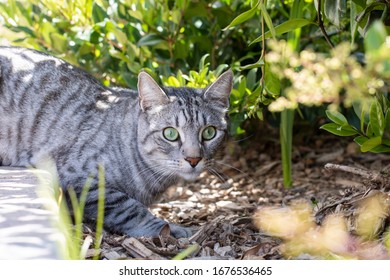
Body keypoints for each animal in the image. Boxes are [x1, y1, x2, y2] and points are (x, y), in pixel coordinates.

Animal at [0, 46, 232, 238]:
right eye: (170, 134)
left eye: (209, 132)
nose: (194, 159)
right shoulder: (79, 178)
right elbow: (130, 209)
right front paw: (170, 229)